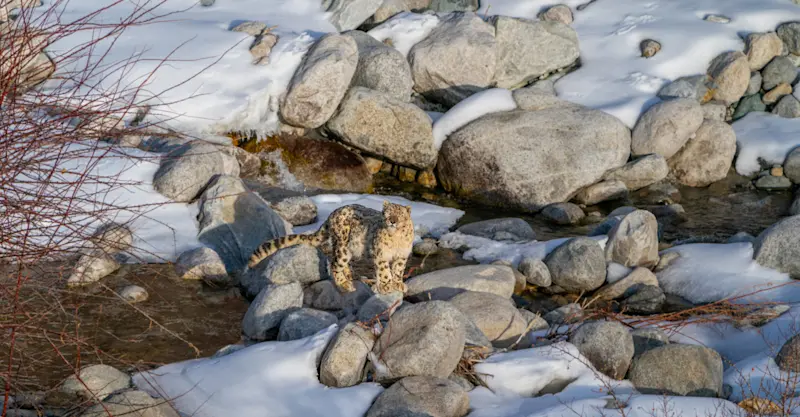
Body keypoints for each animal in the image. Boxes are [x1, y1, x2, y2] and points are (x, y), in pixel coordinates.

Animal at [248, 201, 414, 295]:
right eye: (387, 213)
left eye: (400, 215)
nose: (392, 221)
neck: (396, 239)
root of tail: (331, 214)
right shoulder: (381, 254)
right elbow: (385, 271)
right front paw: (386, 286)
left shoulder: (402, 255)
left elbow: (398, 270)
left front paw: (398, 284)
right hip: (342, 247)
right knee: (335, 264)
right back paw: (345, 284)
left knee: (345, 264)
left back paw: (353, 277)